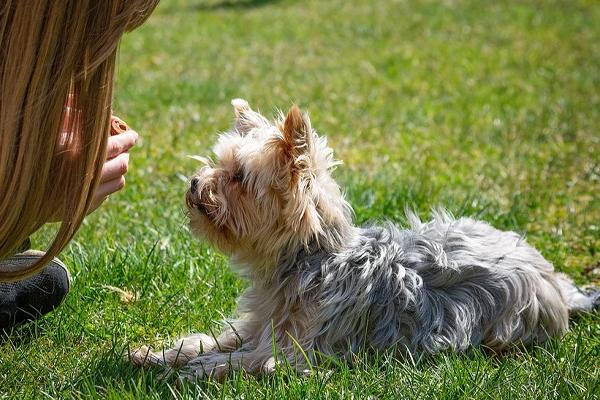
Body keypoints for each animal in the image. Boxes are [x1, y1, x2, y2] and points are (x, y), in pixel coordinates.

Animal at [131, 99, 600, 382]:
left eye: (239, 177)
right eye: (218, 163)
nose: (195, 183)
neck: (308, 260)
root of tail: (555, 281)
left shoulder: (297, 353)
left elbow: (243, 360)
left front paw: (189, 371)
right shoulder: (258, 325)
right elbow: (215, 340)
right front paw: (158, 355)